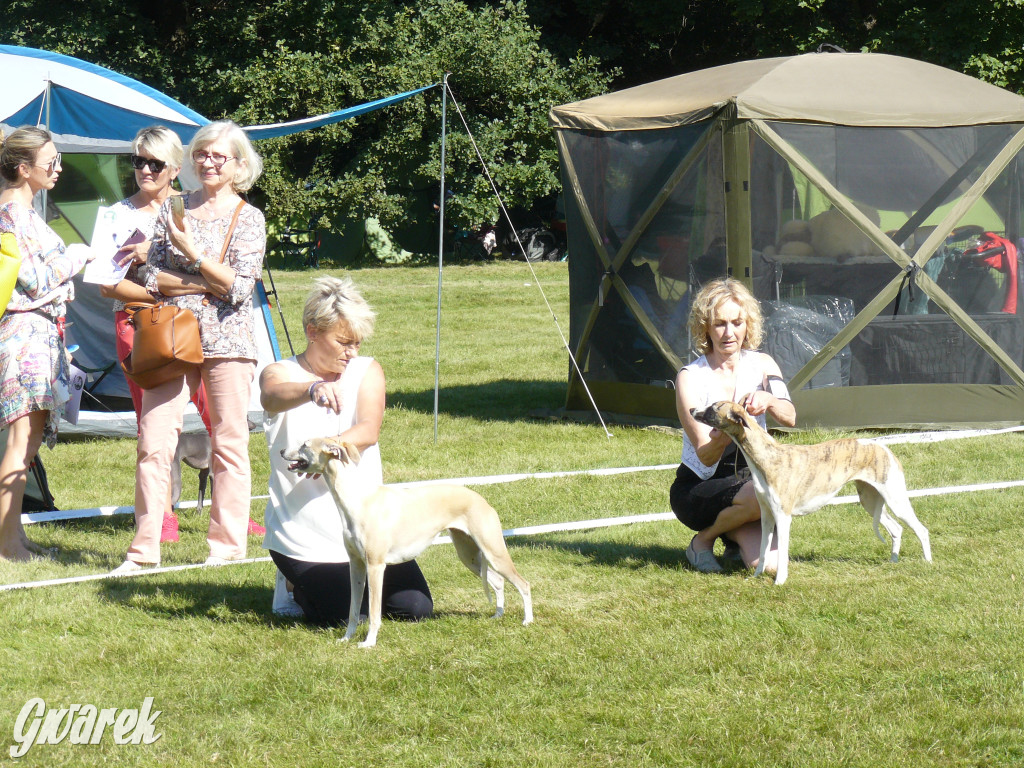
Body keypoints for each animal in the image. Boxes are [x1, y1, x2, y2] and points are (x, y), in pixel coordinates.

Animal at [692, 399, 933, 585]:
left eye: (713, 407)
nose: (692, 409)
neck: (768, 457)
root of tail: (884, 448)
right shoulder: (767, 516)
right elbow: (762, 551)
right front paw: (756, 576)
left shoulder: (783, 517)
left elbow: (781, 554)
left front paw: (780, 582)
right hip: (871, 500)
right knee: (896, 529)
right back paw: (893, 561)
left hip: (895, 499)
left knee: (921, 529)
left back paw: (928, 563)